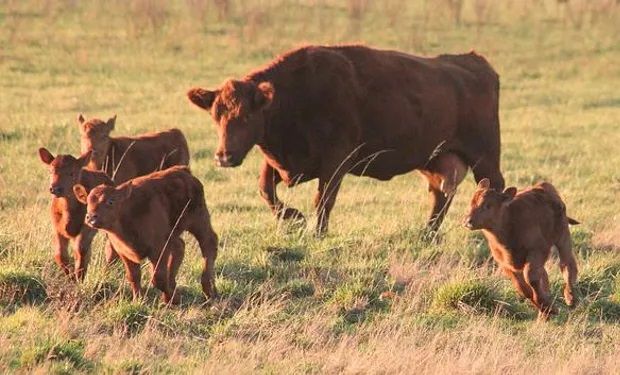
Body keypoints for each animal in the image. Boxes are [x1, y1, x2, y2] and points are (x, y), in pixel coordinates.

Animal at [73, 166, 218, 304]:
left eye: (111, 201)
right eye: (88, 202)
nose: (91, 217)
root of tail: (183, 171)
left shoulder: (158, 250)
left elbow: (158, 278)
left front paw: (172, 299)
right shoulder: (124, 253)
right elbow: (133, 276)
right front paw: (139, 300)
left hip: (199, 221)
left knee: (209, 244)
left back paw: (209, 290)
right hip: (174, 234)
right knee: (180, 247)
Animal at [188, 44, 504, 235]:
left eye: (246, 116)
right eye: (216, 115)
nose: (224, 156)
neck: (295, 96)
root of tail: (474, 61)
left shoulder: (335, 162)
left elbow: (323, 200)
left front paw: (317, 232)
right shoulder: (284, 162)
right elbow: (266, 189)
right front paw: (295, 218)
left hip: (485, 156)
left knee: (493, 187)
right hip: (434, 159)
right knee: (441, 194)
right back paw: (427, 233)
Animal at [462, 179, 580, 320]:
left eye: (487, 205)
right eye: (471, 203)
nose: (468, 221)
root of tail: (541, 186)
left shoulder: (537, 250)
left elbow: (531, 278)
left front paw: (549, 307)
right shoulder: (504, 264)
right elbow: (524, 289)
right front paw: (546, 308)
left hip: (562, 236)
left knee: (567, 264)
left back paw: (570, 297)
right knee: (544, 274)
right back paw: (545, 313)